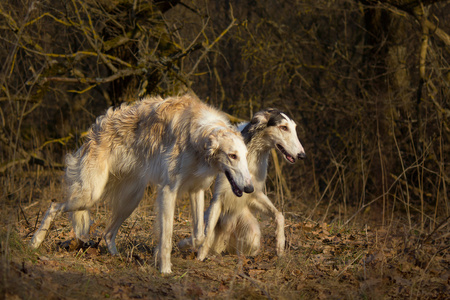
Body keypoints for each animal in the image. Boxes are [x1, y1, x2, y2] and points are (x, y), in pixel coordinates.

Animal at [29, 94, 255, 274]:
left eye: (245, 156)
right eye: (232, 156)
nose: (249, 188)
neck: (198, 136)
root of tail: (95, 129)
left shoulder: (196, 189)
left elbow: (200, 235)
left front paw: (182, 245)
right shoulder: (168, 191)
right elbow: (166, 236)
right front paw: (165, 269)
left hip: (130, 199)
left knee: (108, 233)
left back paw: (116, 256)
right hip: (90, 194)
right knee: (53, 206)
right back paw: (35, 242)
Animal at [178, 108, 304, 260]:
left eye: (294, 128)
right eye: (283, 127)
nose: (302, 155)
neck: (251, 155)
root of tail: (223, 243)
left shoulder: (253, 194)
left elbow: (279, 215)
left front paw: (280, 246)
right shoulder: (218, 197)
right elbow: (205, 234)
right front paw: (199, 258)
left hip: (252, 234)